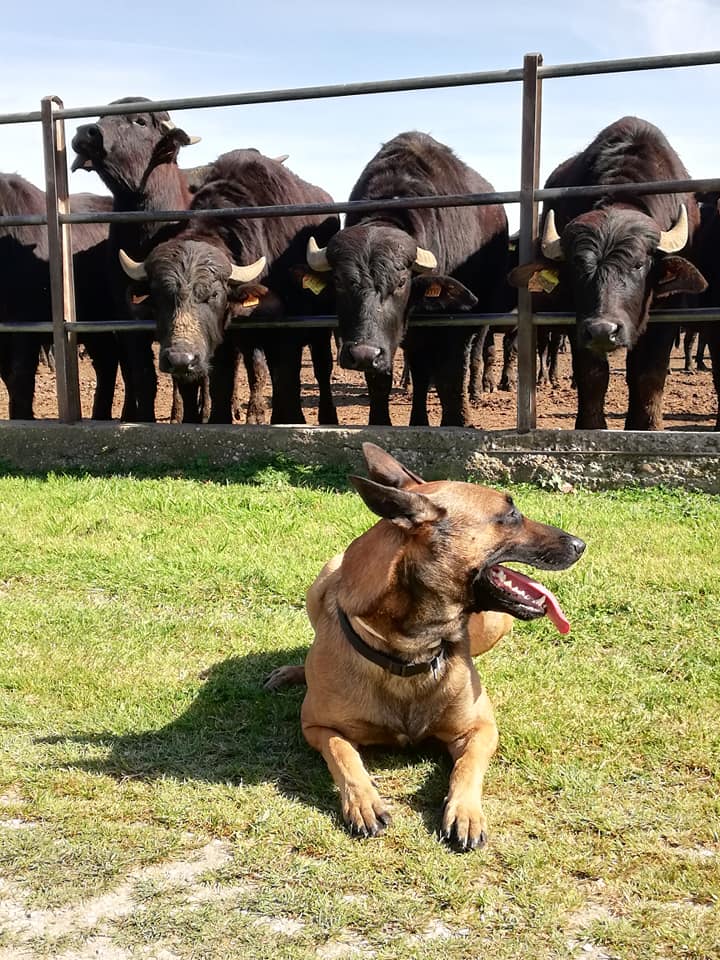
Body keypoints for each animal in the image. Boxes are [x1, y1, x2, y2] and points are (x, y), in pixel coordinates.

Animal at [117, 150, 340, 424]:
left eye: (213, 294)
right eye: (159, 295)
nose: (181, 359)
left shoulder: (287, 332)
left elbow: (286, 377)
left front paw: (289, 419)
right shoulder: (222, 339)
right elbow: (221, 381)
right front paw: (218, 418)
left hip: (321, 328)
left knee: (321, 367)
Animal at [264, 442, 584, 848]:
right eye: (510, 515)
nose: (581, 544)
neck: (411, 650)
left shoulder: (481, 729)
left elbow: (466, 767)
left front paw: (465, 811)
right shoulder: (318, 727)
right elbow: (344, 756)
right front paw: (363, 800)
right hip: (320, 581)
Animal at [306, 130, 510, 424]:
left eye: (401, 282)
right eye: (338, 282)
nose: (363, 354)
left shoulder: (454, 328)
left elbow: (450, 378)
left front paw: (457, 421)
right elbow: (382, 381)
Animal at [510, 114, 704, 430]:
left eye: (639, 264)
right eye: (578, 266)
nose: (604, 331)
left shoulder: (669, 310)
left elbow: (648, 373)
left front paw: (646, 426)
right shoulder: (576, 318)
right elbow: (592, 373)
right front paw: (590, 425)